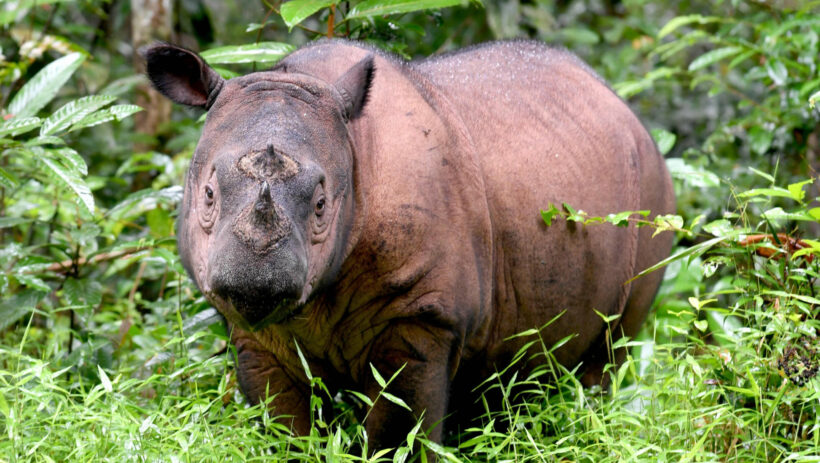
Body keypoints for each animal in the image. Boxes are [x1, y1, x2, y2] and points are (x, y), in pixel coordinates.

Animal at [144, 40, 676, 450]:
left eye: (321, 205)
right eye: (207, 195)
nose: (254, 281)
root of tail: (623, 106)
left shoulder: (422, 317)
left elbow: (398, 433)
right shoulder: (255, 334)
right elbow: (284, 429)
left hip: (654, 191)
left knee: (609, 351)